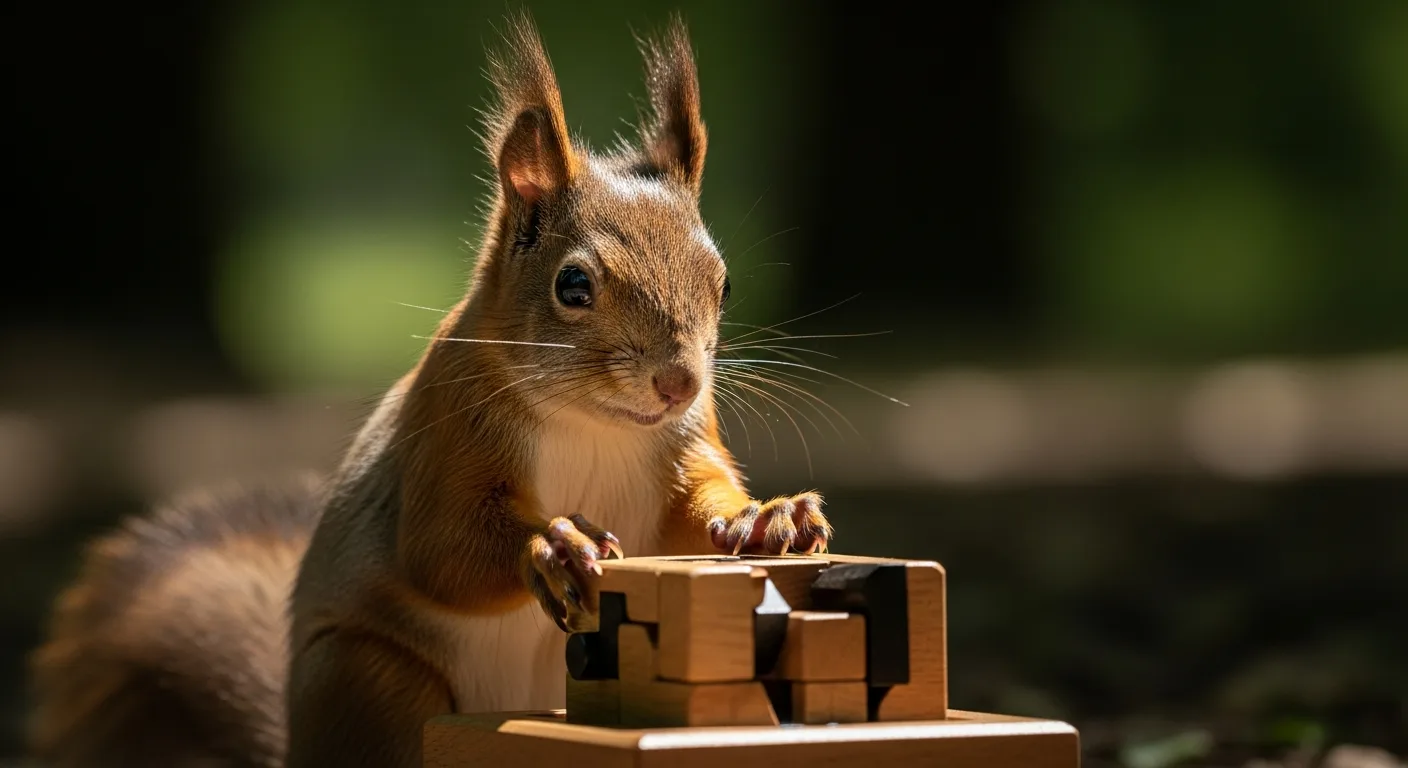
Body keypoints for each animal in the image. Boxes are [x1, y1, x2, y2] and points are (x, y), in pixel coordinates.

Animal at [28, 13, 832, 768]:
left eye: (723, 284)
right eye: (573, 285)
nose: (678, 382)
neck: (595, 424)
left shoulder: (687, 443)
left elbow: (694, 512)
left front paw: (769, 517)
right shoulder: (447, 429)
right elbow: (441, 548)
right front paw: (553, 546)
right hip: (374, 683)